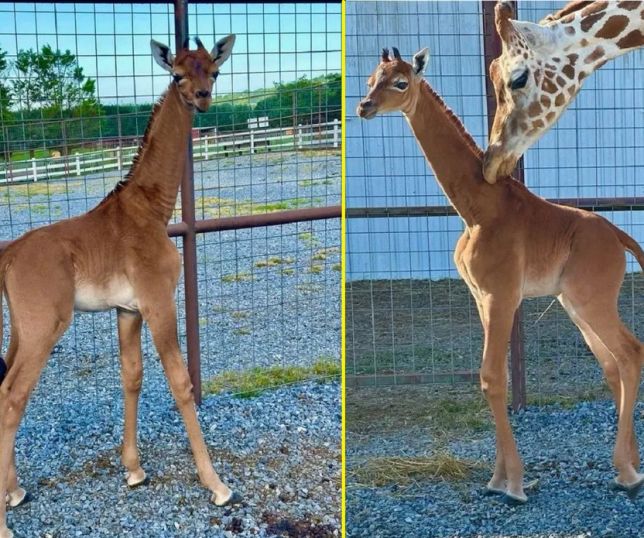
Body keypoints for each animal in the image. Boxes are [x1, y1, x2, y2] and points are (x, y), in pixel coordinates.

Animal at [0, 36, 239, 536]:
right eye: (177, 75)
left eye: (214, 70)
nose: (203, 98)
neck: (150, 210)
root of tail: (8, 257)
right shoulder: (158, 300)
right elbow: (181, 382)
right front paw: (217, 485)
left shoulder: (127, 309)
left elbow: (132, 376)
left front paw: (133, 469)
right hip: (44, 329)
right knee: (12, 398)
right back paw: (4, 520)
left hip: (19, 331)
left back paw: (14, 490)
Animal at [358, 46, 644, 502]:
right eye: (371, 79)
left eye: (400, 82)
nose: (364, 106)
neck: (477, 210)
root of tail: (619, 236)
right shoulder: (481, 298)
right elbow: (500, 378)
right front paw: (496, 478)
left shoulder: (502, 295)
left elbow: (491, 377)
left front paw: (513, 484)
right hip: (574, 305)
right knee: (613, 364)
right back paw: (629, 465)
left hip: (592, 301)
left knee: (630, 353)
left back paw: (628, 472)